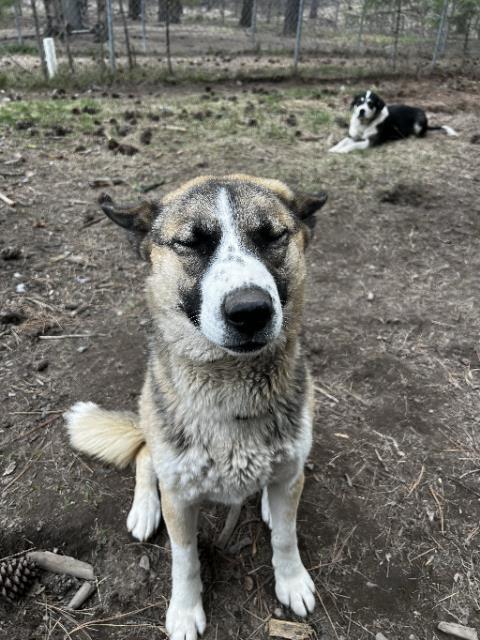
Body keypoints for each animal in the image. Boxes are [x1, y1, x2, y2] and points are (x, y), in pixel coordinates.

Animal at [64, 175, 326, 640]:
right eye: (191, 243)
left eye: (272, 236)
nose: (250, 311)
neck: (232, 386)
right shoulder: (181, 501)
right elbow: (184, 559)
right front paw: (185, 611)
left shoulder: (291, 471)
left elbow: (286, 537)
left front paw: (292, 581)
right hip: (151, 422)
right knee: (145, 455)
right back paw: (145, 508)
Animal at [330, 89, 458, 153]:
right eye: (359, 102)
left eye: (371, 104)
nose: (361, 111)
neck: (364, 123)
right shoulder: (352, 136)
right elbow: (342, 142)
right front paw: (334, 148)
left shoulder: (370, 142)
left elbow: (354, 145)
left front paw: (342, 150)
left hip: (419, 121)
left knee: (422, 133)